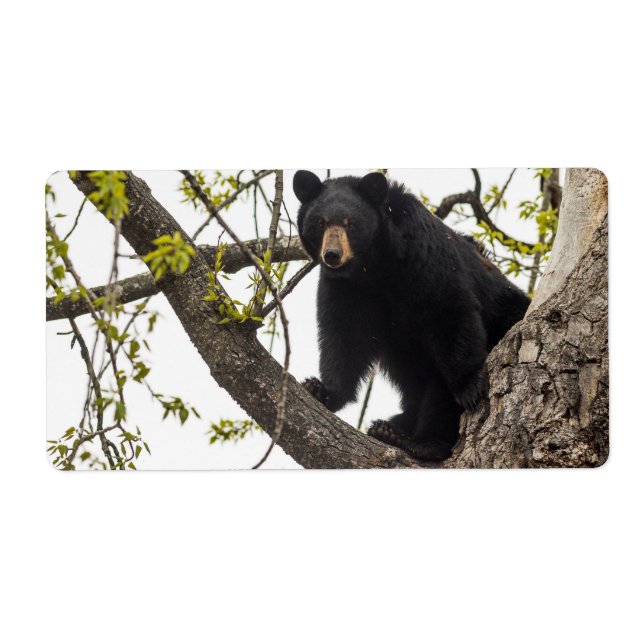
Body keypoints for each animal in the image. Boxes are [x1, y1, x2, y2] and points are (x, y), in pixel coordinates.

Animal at [293, 170, 530, 462]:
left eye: (350, 224)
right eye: (321, 222)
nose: (332, 255)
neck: (375, 267)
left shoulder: (424, 255)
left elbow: (449, 310)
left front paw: (470, 386)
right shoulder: (347, 288)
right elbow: (345, 336)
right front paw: (322, 389)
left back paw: (420, 441)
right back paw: (390, 428)